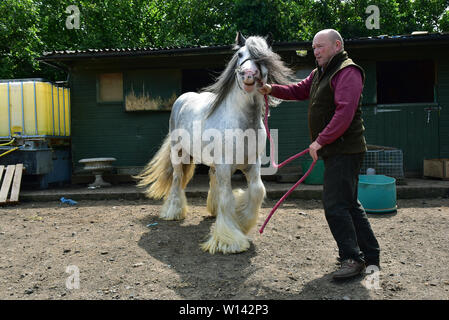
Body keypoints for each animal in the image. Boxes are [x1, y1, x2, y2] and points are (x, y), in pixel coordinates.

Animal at [136, 31, 294, 252]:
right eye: (240, 54)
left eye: (263, 57)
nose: (249, 75)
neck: (244, 123)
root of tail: (181, 100)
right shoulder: (225, 165)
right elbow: (227, 198)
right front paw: (229, 240)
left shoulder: (252, 164)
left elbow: (256, 190)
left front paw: (242, 222)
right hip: (179, 154)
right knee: (177, 179)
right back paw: (173, 212)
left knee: (212, 178)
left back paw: (212, 210)